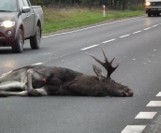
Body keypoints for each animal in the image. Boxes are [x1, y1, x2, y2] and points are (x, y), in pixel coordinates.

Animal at [0, 49, 133, 97]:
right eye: (113, 81)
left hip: (15, 82)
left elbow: (29, 92)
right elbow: (30, 72)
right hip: (13, 73)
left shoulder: (47, 91)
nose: (129, 90)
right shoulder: (44, 73)